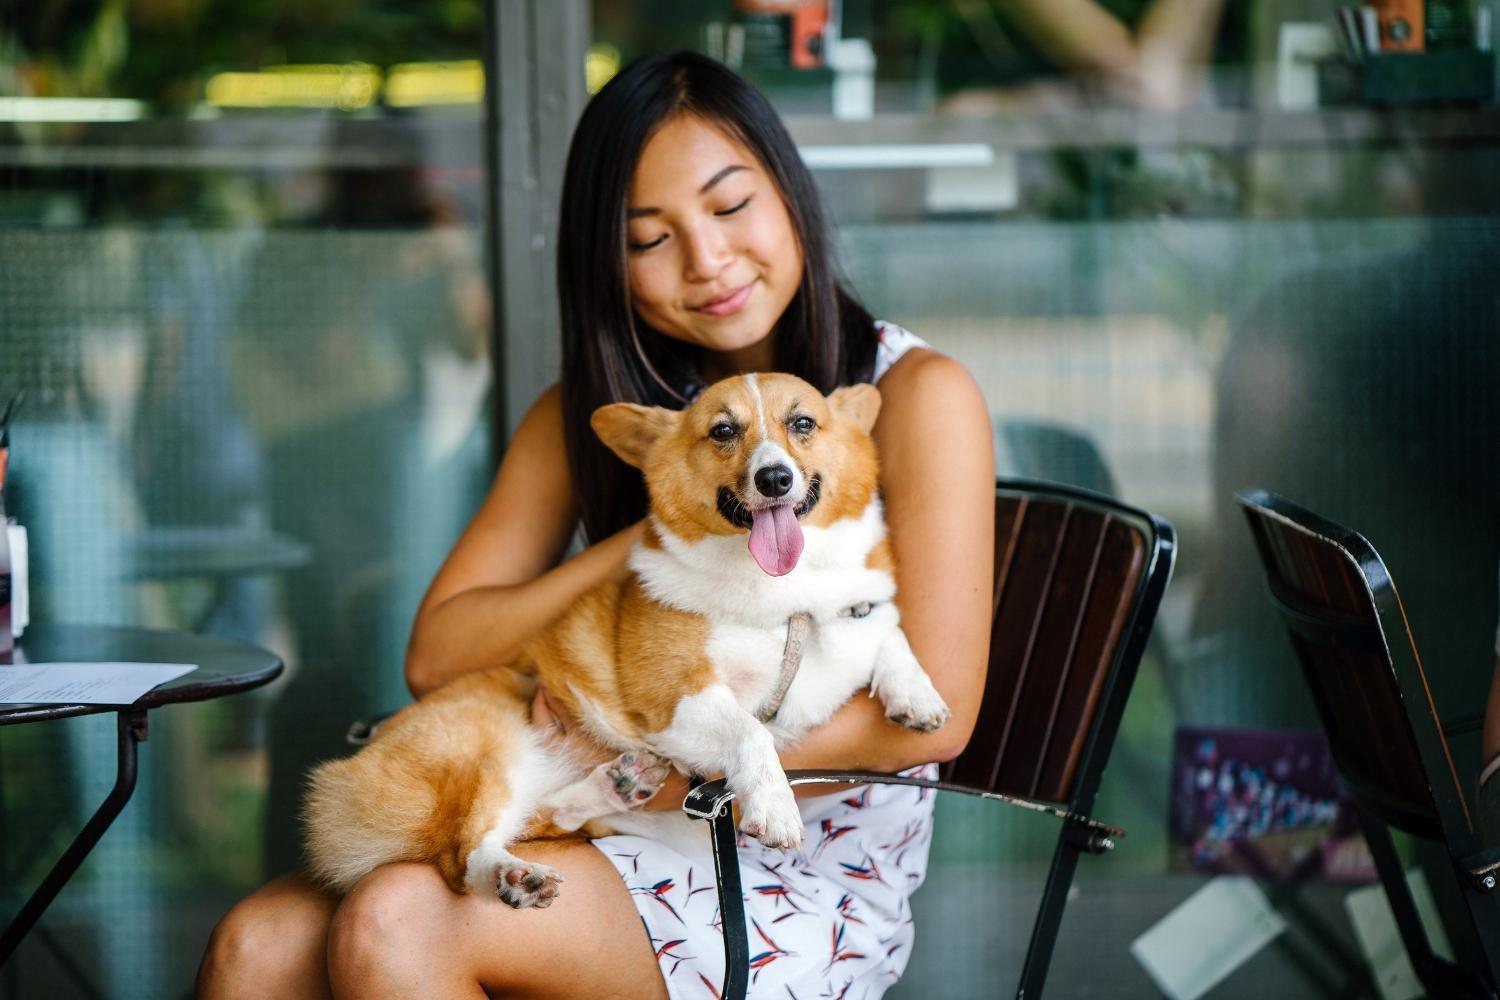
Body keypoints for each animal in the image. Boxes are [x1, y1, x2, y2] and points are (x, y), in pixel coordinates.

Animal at [304, 371, 948, 911]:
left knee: (543, 816)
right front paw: (774, 805)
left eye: (804, 423)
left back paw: (613, 787)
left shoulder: (854, 614)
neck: (787, 600)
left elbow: (889, 630)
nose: (774, 478)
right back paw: (513, 875)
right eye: (723, 430)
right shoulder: (677, 699)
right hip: (484, 743)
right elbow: (751, 731)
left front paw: (916, 694)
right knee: (461, 855)